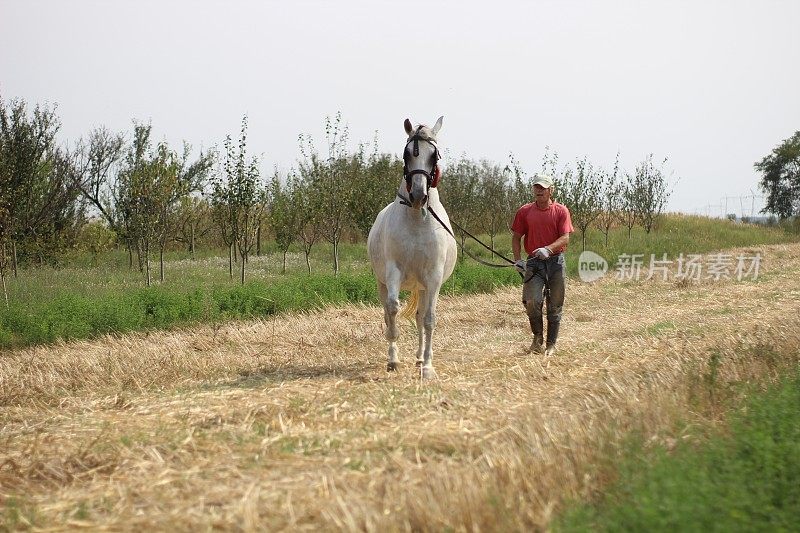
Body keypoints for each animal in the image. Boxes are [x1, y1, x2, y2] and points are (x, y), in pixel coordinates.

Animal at [368, 115, 456, 378]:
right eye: (407, 154)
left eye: (434, 155)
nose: (418, 196)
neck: (417, 220)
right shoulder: (393, 272)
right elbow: (392, 310)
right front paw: (393, 360)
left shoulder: (434, 277)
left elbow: (429, 319)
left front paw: (427, 366)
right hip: (384, 282)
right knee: (388, 311)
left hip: (424, 286)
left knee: (421, 317)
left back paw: (420, 358)